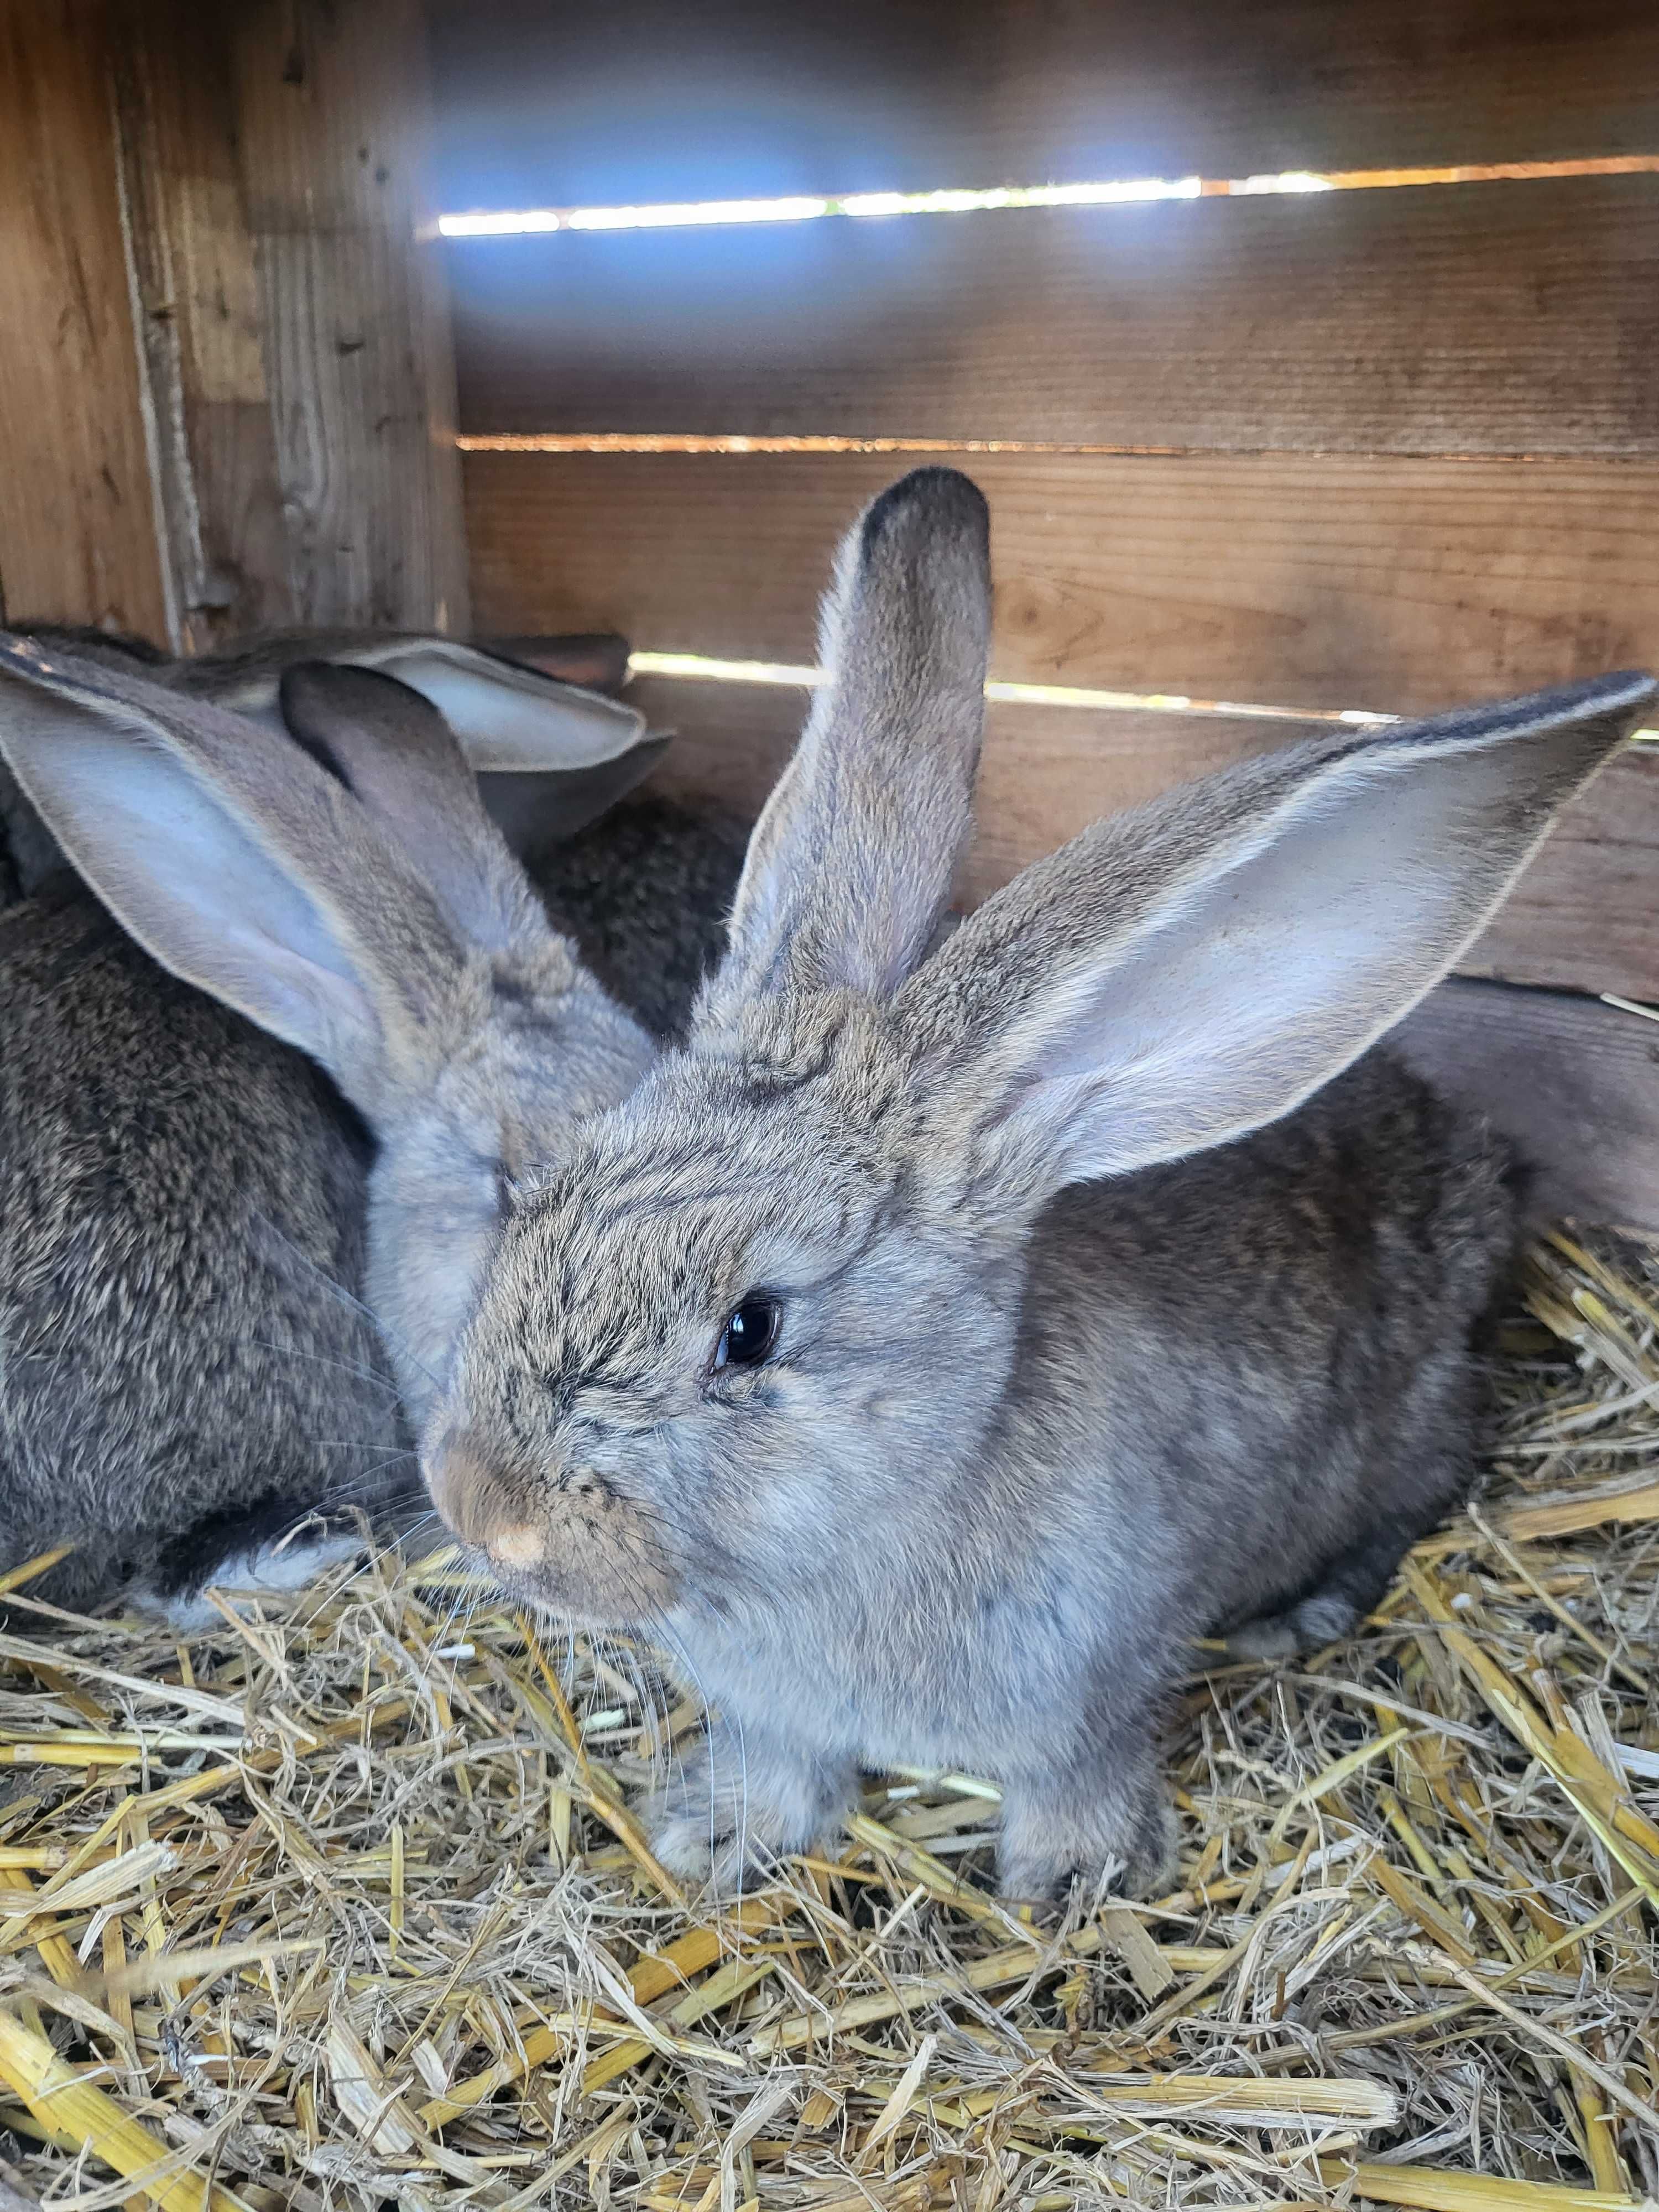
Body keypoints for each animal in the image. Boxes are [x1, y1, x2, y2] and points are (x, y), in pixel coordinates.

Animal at [425, 471, 1655, 1902]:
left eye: (751, 1328)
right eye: (543, 1196)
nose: (485, 1511)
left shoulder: (1092, 1688)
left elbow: (1079, 1772)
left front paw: (1072, 1884)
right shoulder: (777, 1711)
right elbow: (781, 1763)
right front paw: (716, 1834)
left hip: (1406, 1417)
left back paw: (1297, 1613)